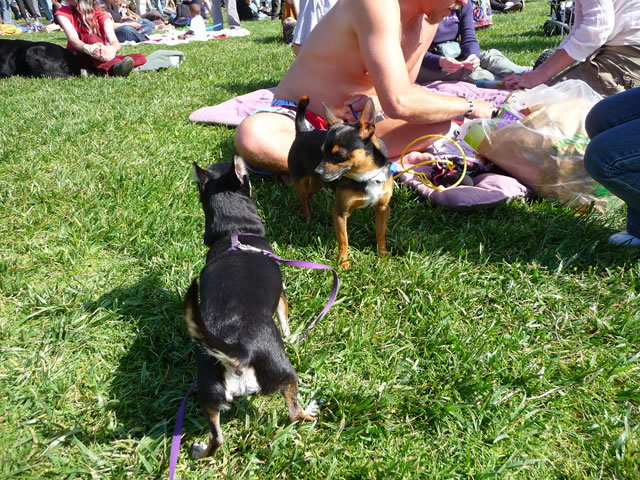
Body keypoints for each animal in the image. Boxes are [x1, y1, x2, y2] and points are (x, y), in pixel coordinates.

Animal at [185, 155, 318, 459]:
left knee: (217, 439)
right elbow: (284, 317)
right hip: (283, 371)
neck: (234, 233)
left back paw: (200, 451)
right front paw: (291, 335)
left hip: (208, 394)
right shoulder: (280, 296)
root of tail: (238, 351)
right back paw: (310, 411)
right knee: (294, 413)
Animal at [287, 96, 393, 269]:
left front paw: (383, 255)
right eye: (322, 152)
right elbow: (344, 240)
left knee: (307, 196)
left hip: (317, 184)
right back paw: (308, 219)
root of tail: (302, 132)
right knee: (303, 198)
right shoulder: (340, 212)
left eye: (339, 155)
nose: (318, 170)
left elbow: (381, 234)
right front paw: (343, 263)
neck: (366, 177)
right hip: (301, 180)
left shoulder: (383, 208)